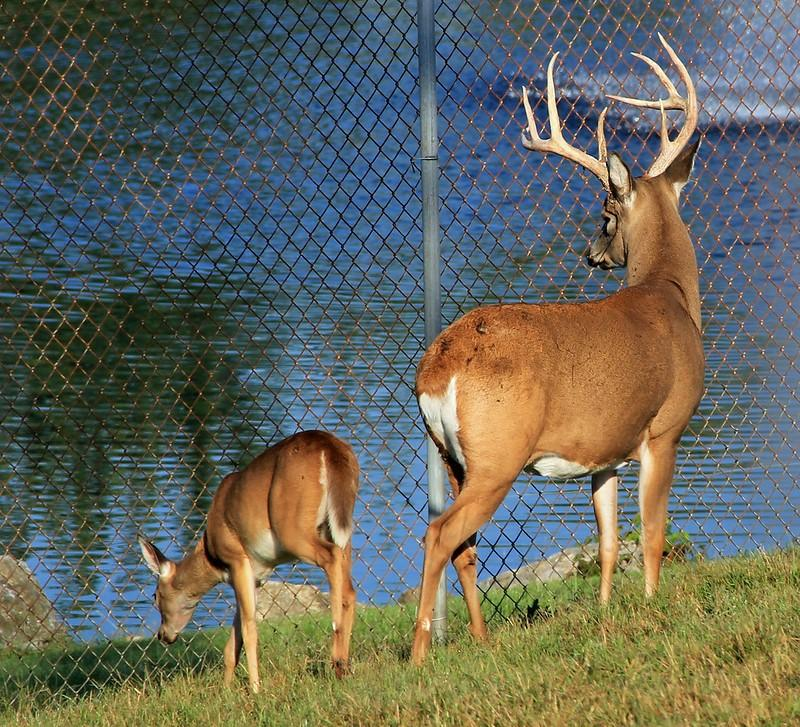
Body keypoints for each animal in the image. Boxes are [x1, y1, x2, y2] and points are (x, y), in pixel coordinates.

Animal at [139, 430, 359, 692]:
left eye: (155, 595)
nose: (163, 635)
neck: (212, 557)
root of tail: (330, 448)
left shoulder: (238, 560)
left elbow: (249, 627)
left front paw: (255, 688)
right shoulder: (255, 576)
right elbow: (233, 642)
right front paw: (226, 689)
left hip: (293, 527)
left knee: (332, 559)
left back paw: (337, 658)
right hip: (339, 525)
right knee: (349, 586)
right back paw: (343, 665)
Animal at [411, 34, 704, 664]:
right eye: (606, 212)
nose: (591, 253)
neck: (668, 295)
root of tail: (434, 370)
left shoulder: (606, 452)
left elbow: (610, 540)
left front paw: (606, 613)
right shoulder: (664, 428)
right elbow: (653, 534)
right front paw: (652, 607)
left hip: (453, 458)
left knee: (464, 545)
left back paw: (481, 638)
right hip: (498, 455)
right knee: (440, 534)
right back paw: (421, 652)